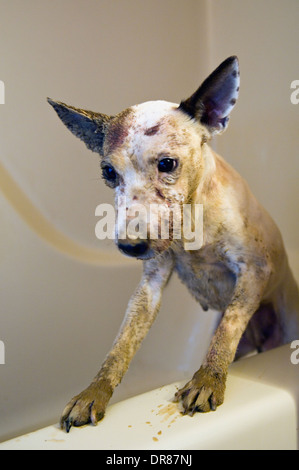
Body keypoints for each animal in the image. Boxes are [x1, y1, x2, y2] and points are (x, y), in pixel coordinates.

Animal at [48, 57, 299, 434]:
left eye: (167, 164)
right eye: (108, 172)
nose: (130, 247)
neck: (191, 223)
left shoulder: (253, 271)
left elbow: (226, 330)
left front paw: (207, 380)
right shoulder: (150, 286)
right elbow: (120, 347)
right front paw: (94, 392)